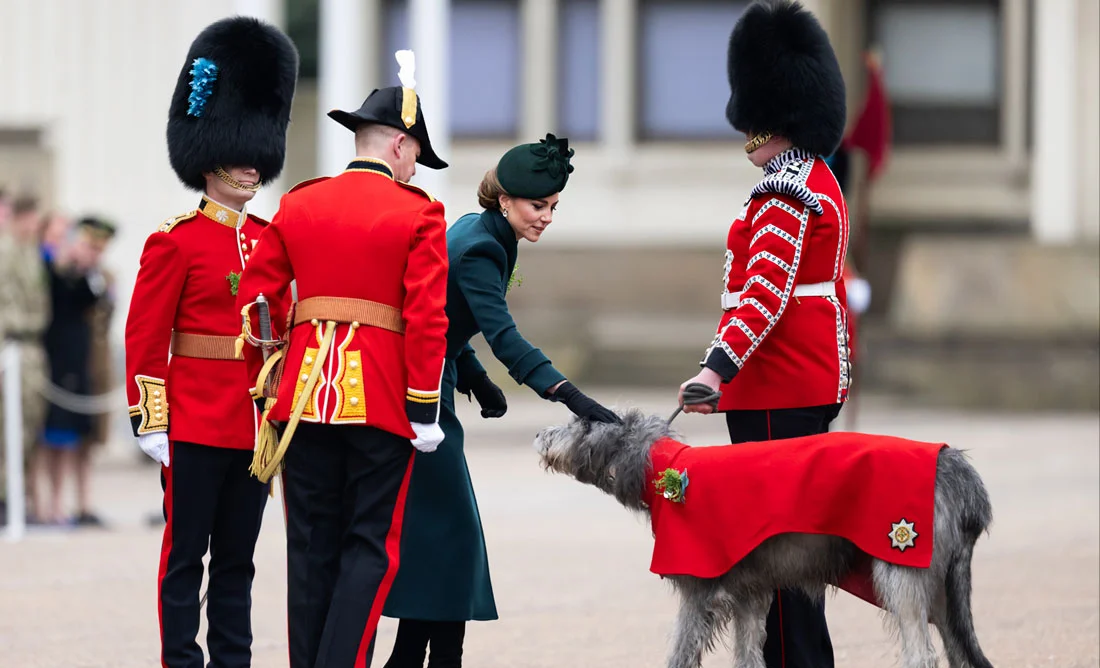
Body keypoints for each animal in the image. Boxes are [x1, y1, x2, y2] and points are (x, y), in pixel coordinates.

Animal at [534, 407, 998, 668]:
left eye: (579, 421)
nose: (538, 435)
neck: (665, 468)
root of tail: (958, 469)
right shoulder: (750, 593)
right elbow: (748, 654)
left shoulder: (699, 588)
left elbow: (681, 651)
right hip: (942, 586)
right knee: (957, 648)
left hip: (903, 565)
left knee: (922, 654)